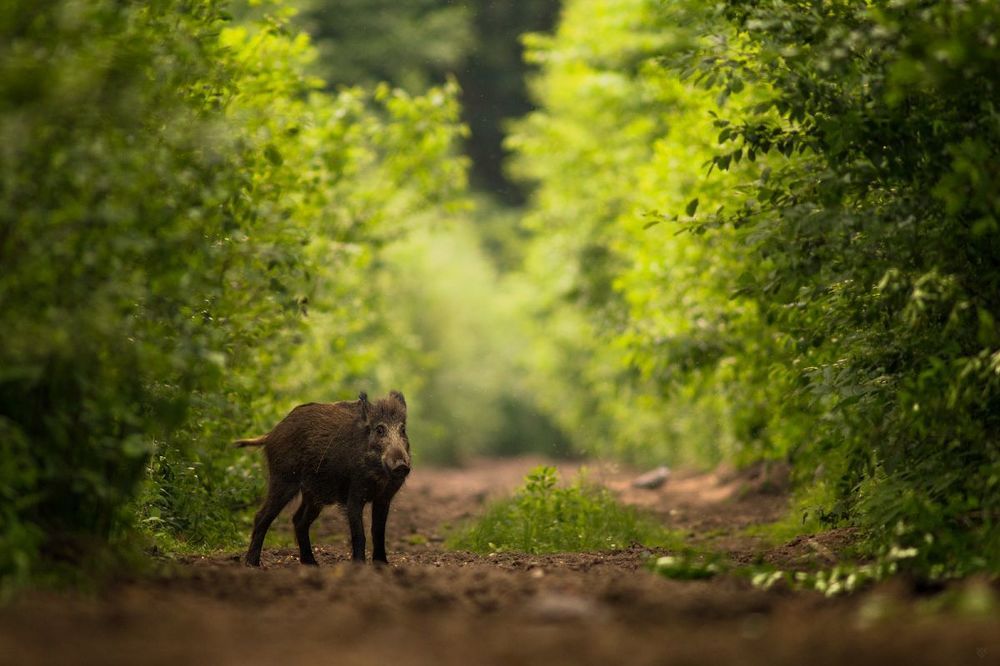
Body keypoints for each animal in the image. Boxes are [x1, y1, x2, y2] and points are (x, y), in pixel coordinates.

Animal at [236, 391, 411, 567]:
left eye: (403, 430)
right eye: (380, 429)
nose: (402, 465)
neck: (379, 476)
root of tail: (271, 434)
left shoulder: (384, 498)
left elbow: (378, 531)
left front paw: (382, 564)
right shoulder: (354, 495)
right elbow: (359, 533)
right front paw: (359, 565)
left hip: (312, 495)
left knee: (298, 520)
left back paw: (311, 563)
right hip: (283, 479)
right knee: (261, 516)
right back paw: (252, 564)